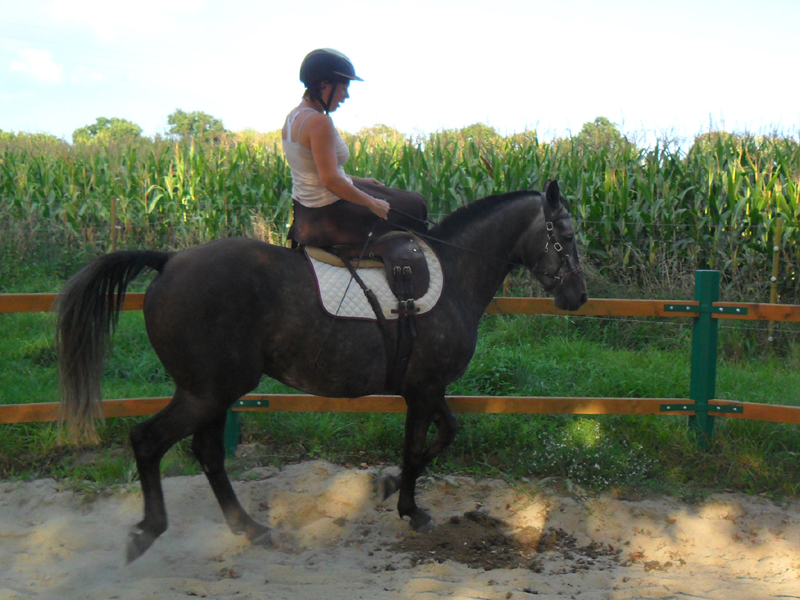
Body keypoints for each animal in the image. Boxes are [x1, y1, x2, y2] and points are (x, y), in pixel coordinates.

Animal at [56, 178, 588, 564]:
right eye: (565, 237)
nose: (578, 296)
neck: (453, 272)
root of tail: (168, 261)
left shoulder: (428, 389)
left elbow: (445, 435)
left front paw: (389, 486)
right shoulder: (423, 389)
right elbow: (418, 447)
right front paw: (409, 508)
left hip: (213, 392)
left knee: (206, 453)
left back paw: (250, 528)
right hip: (207, 391)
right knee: (149, 441)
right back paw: (149, 531)